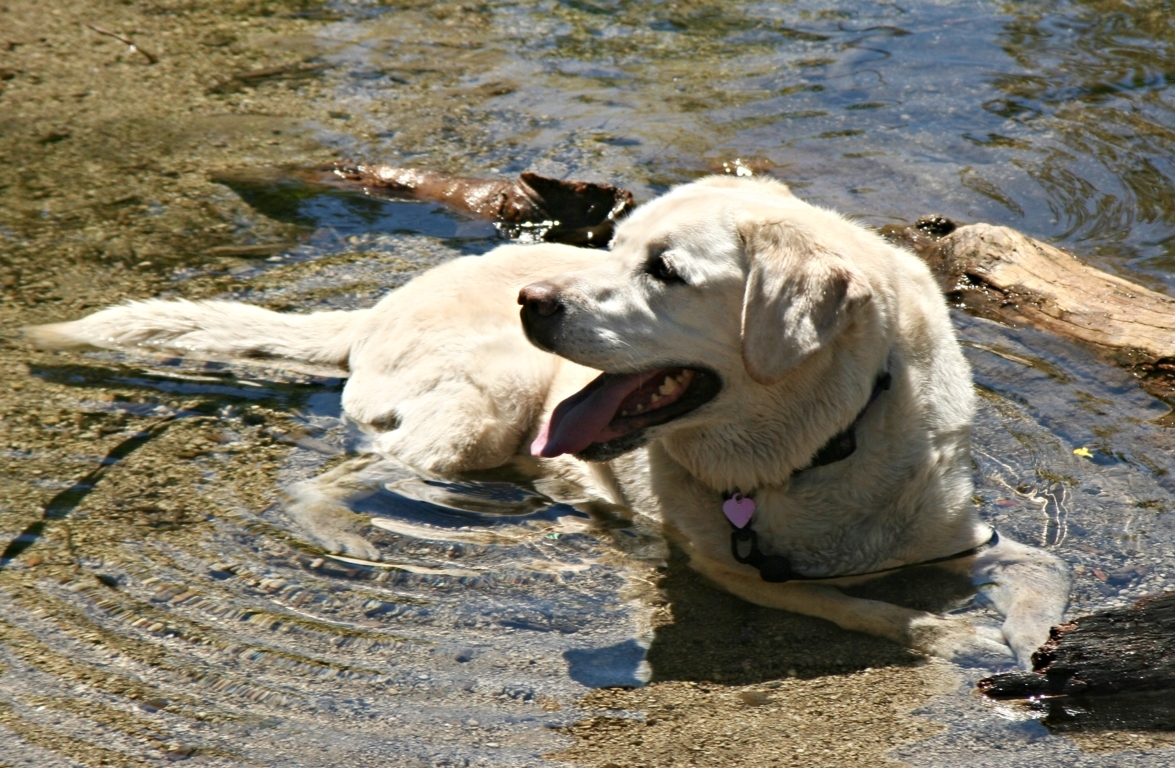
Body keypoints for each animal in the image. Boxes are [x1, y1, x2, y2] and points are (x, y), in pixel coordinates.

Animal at [29, 174, 1076, 667]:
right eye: (611, 245)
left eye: (665, 271)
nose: (535, 300)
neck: (819, 445)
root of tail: (373, 310)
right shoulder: (729, 571)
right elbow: (859, 608)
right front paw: (953, 638)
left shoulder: (966, 538)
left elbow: (1048, 574)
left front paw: (1035, 642)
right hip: (483, 412)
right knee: (335, 477)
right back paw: (346, 534)